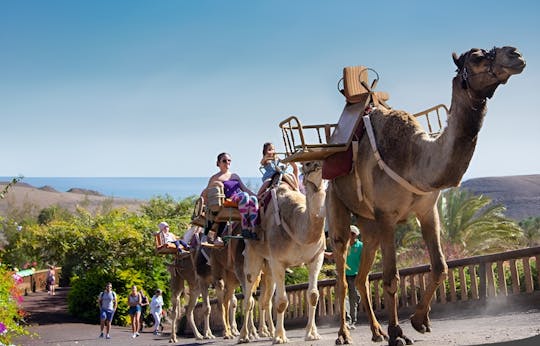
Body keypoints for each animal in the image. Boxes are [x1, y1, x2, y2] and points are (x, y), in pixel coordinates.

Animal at [239, 162, 324, 344]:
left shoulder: (316, 257)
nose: (318, 165)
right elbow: (282, 301)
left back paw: (267, 331)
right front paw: (280, 337)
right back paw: (244, 336)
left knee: (265, 300)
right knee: (249, 297)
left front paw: (312, 334)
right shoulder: (278, 261)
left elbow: (313, 295)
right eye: (307, 164)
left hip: (268, 268)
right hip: (252, 254)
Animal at [324, 46, 524, 346]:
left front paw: (419, 321)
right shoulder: (387, 215)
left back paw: (376, 331)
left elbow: (440, 266)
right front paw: (397, 333)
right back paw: (345, 335)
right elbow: (391, 278)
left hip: (369, 224)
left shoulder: (428, 210)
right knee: (342, 274)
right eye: (477, 57)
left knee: (361, 277)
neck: (415, 158)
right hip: (336, 203)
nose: (516, 54)